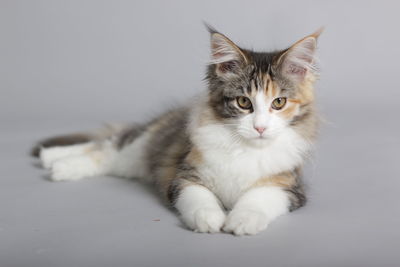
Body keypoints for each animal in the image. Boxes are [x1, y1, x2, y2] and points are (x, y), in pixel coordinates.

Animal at [32, 26, 324, 237]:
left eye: (279, 103)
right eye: (244, 102)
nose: (260, 127)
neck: (246, 148)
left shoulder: (288, 187)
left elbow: (258, 198)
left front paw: (242, 220)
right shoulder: (183, 176)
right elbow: (200, 198)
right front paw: (210, 219)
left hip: (134, 162)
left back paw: (55, 162)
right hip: (139, 147)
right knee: (106, 147)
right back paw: (55, 160)